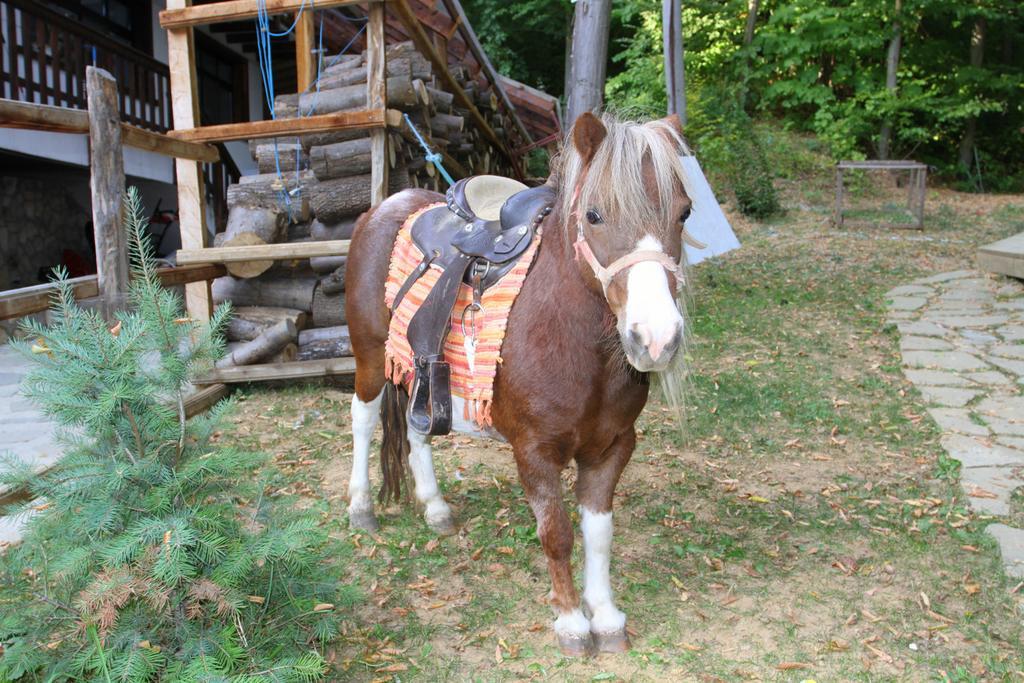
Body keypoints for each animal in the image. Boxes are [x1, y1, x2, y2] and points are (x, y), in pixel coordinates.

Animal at [346, 113, 696, 655]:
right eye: (594, 215)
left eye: (684, 212)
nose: (655, 338)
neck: (577, 346)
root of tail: (385, 206)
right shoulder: (534, 451)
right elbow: (557, 533)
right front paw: (572, 622)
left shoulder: (612, 447)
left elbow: (599, 534)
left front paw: (606, 617)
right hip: (368, 360)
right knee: (362, 420)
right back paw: (360, 506)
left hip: (424, 374)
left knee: (417, 428)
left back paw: (435, 508)